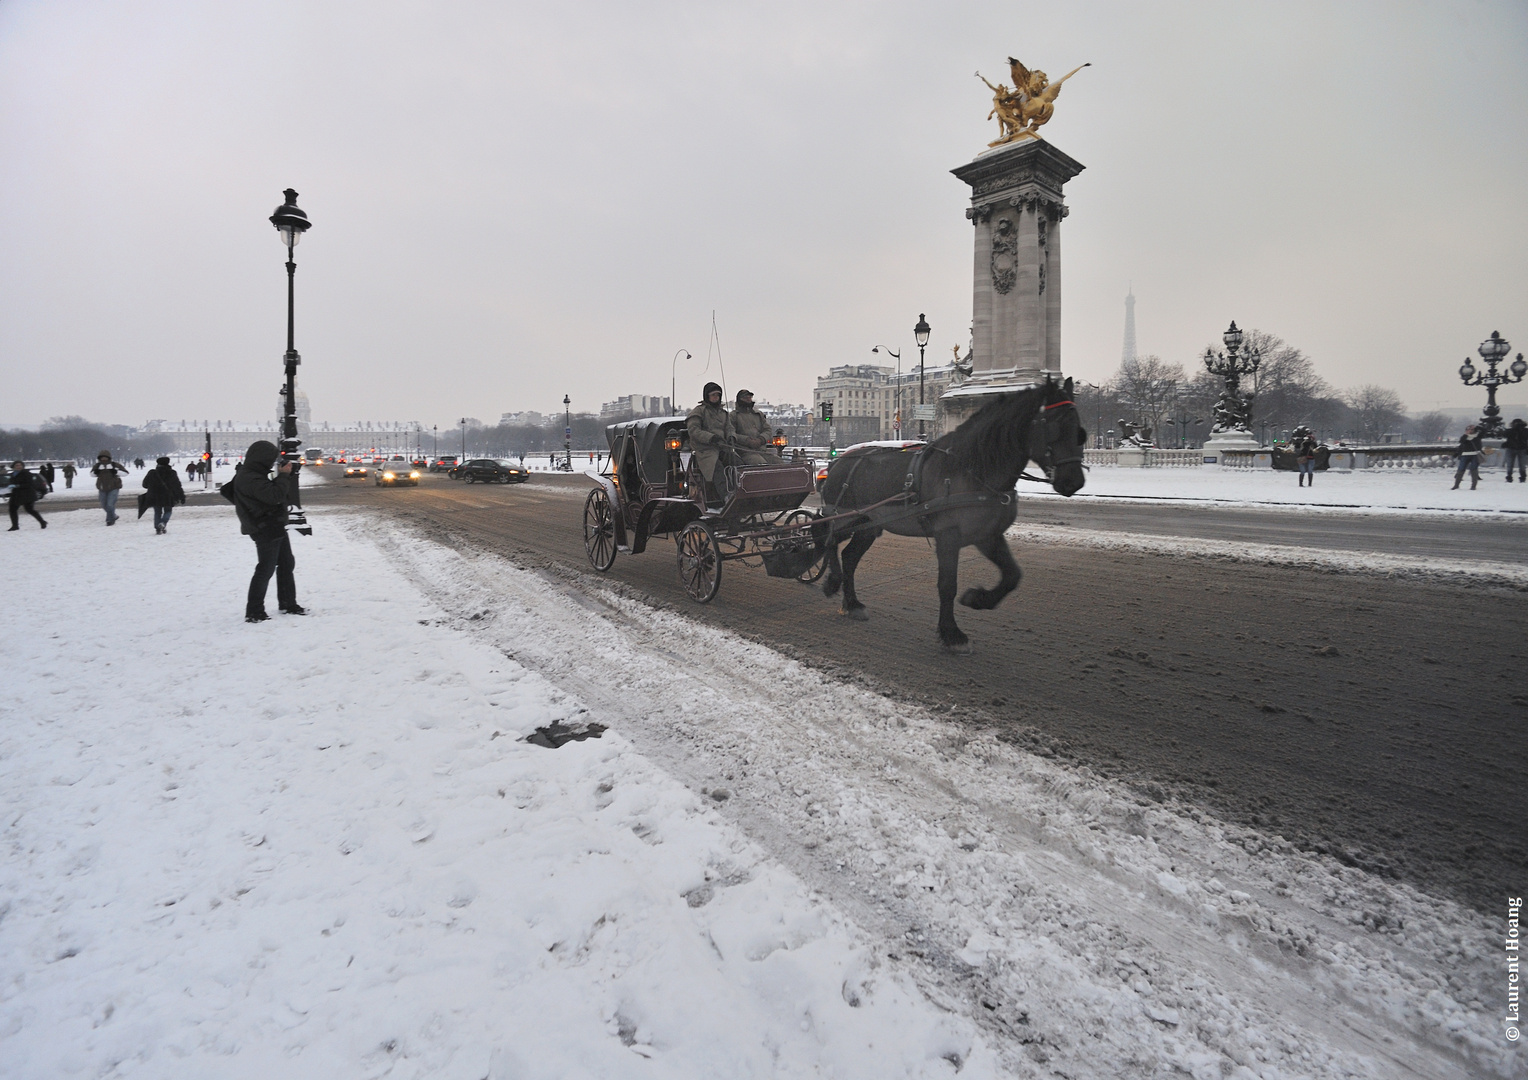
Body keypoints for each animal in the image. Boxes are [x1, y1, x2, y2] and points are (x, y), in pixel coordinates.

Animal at [825, 378, 1087, 650]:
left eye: (1079, 429)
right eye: (1055, 427)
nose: (1074, 481)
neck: (973, 470)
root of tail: (838, 461)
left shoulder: (988, 536)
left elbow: (1012, 575)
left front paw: (978, 598)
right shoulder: (948, 536)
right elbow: (947, 585)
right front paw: (951, 632)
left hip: (868, 526)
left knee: (849, 557)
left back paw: (852, 603)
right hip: (845, 517)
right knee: (826, 539)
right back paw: (833, 580)